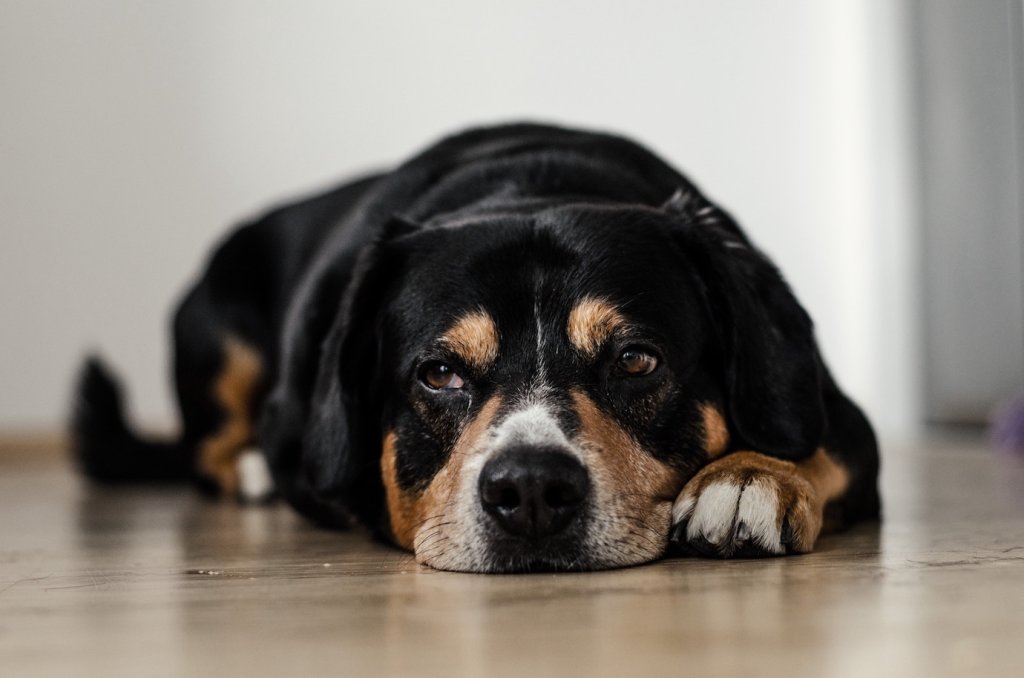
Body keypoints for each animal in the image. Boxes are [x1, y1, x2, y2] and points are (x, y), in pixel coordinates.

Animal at [75, 123, 884, 573]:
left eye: (635, 360)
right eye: (439, 374)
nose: (530, 490)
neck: (530, 187)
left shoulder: (838, 414)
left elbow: (818, 445)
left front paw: (747, 478)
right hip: (217, 333)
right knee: (206, 447)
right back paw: (251, 472)